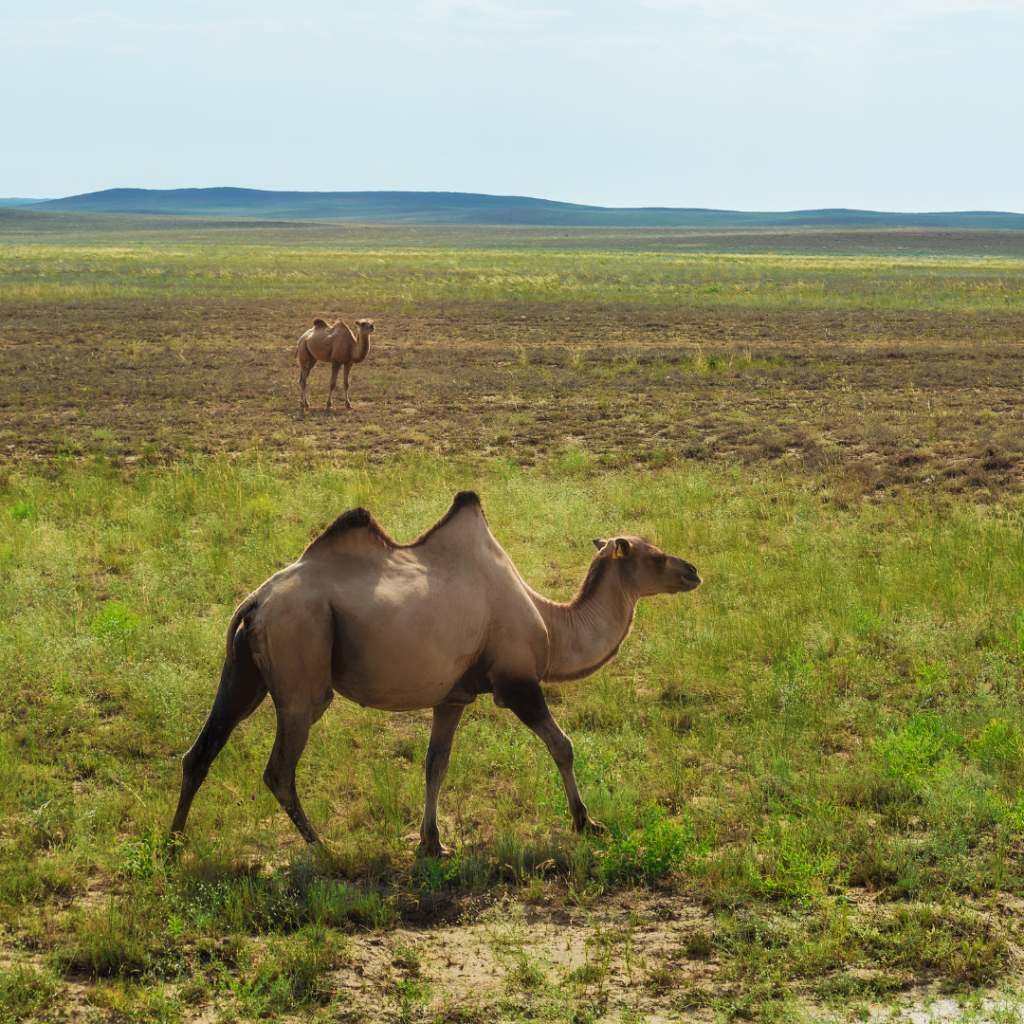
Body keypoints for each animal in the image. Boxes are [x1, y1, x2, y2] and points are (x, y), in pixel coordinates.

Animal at [169, 491, 704, 851]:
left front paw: (432, 842)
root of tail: (256, 600)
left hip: (243, 673)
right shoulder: (517, 683)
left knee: (201, 751)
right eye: (656, 557)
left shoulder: (453, 696)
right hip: (301, 671)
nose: (694, 571)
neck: (551, 627)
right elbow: (563, 746)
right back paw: (323, 849)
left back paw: (174, 846)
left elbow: (435, 764)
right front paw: (585, 823)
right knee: (279, 770)